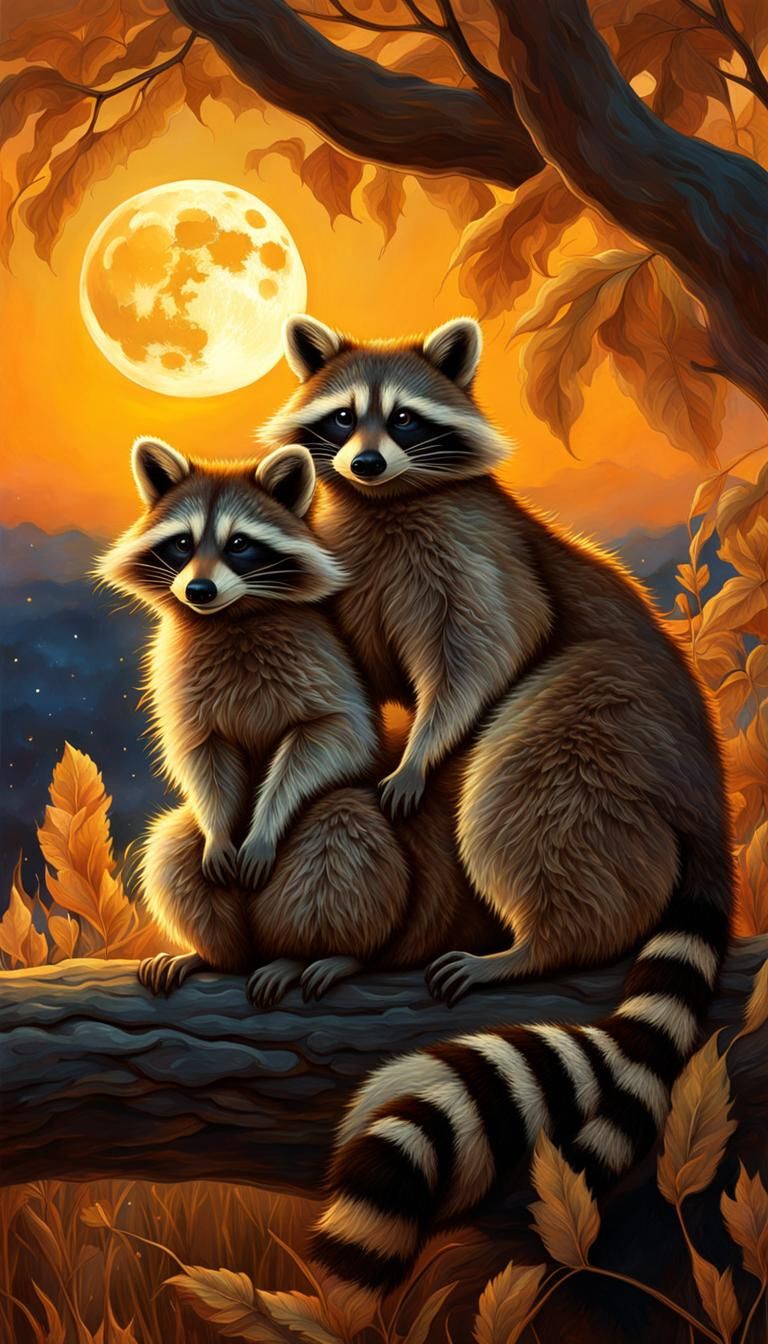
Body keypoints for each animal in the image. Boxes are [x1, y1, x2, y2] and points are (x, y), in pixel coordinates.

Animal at [261, 315, 733, 1298]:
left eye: (403, 420)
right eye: (342, 418)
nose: (366, 465)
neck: (386, 504)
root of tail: (711, 803)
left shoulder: (478, 553)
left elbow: (487, 650)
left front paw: (421, 749)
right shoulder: (351, 563)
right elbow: (357, 683)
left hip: (606, 720)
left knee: (524, 765)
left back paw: (539, 941)